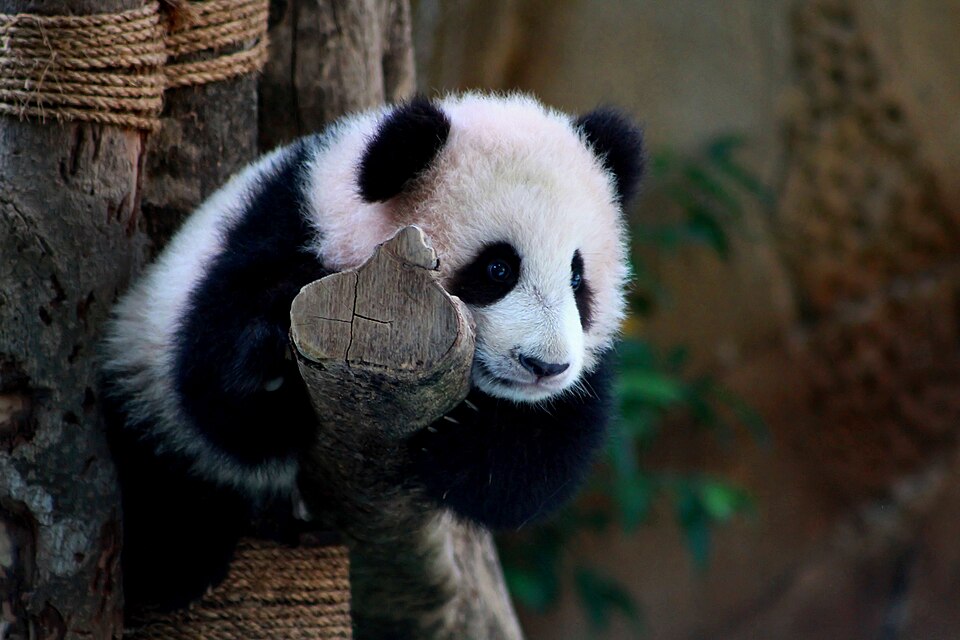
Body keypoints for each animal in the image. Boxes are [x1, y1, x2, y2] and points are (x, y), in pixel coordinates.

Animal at [100, 92, 644, 612]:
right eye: (497, 269)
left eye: (577, 278)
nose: (544, 367)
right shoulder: (276, 231)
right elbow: (214, 387)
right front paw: (273, 354)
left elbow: (538, 464)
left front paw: (459, 433)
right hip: (143, 375)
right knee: (168, 482)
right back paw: (174, 569)